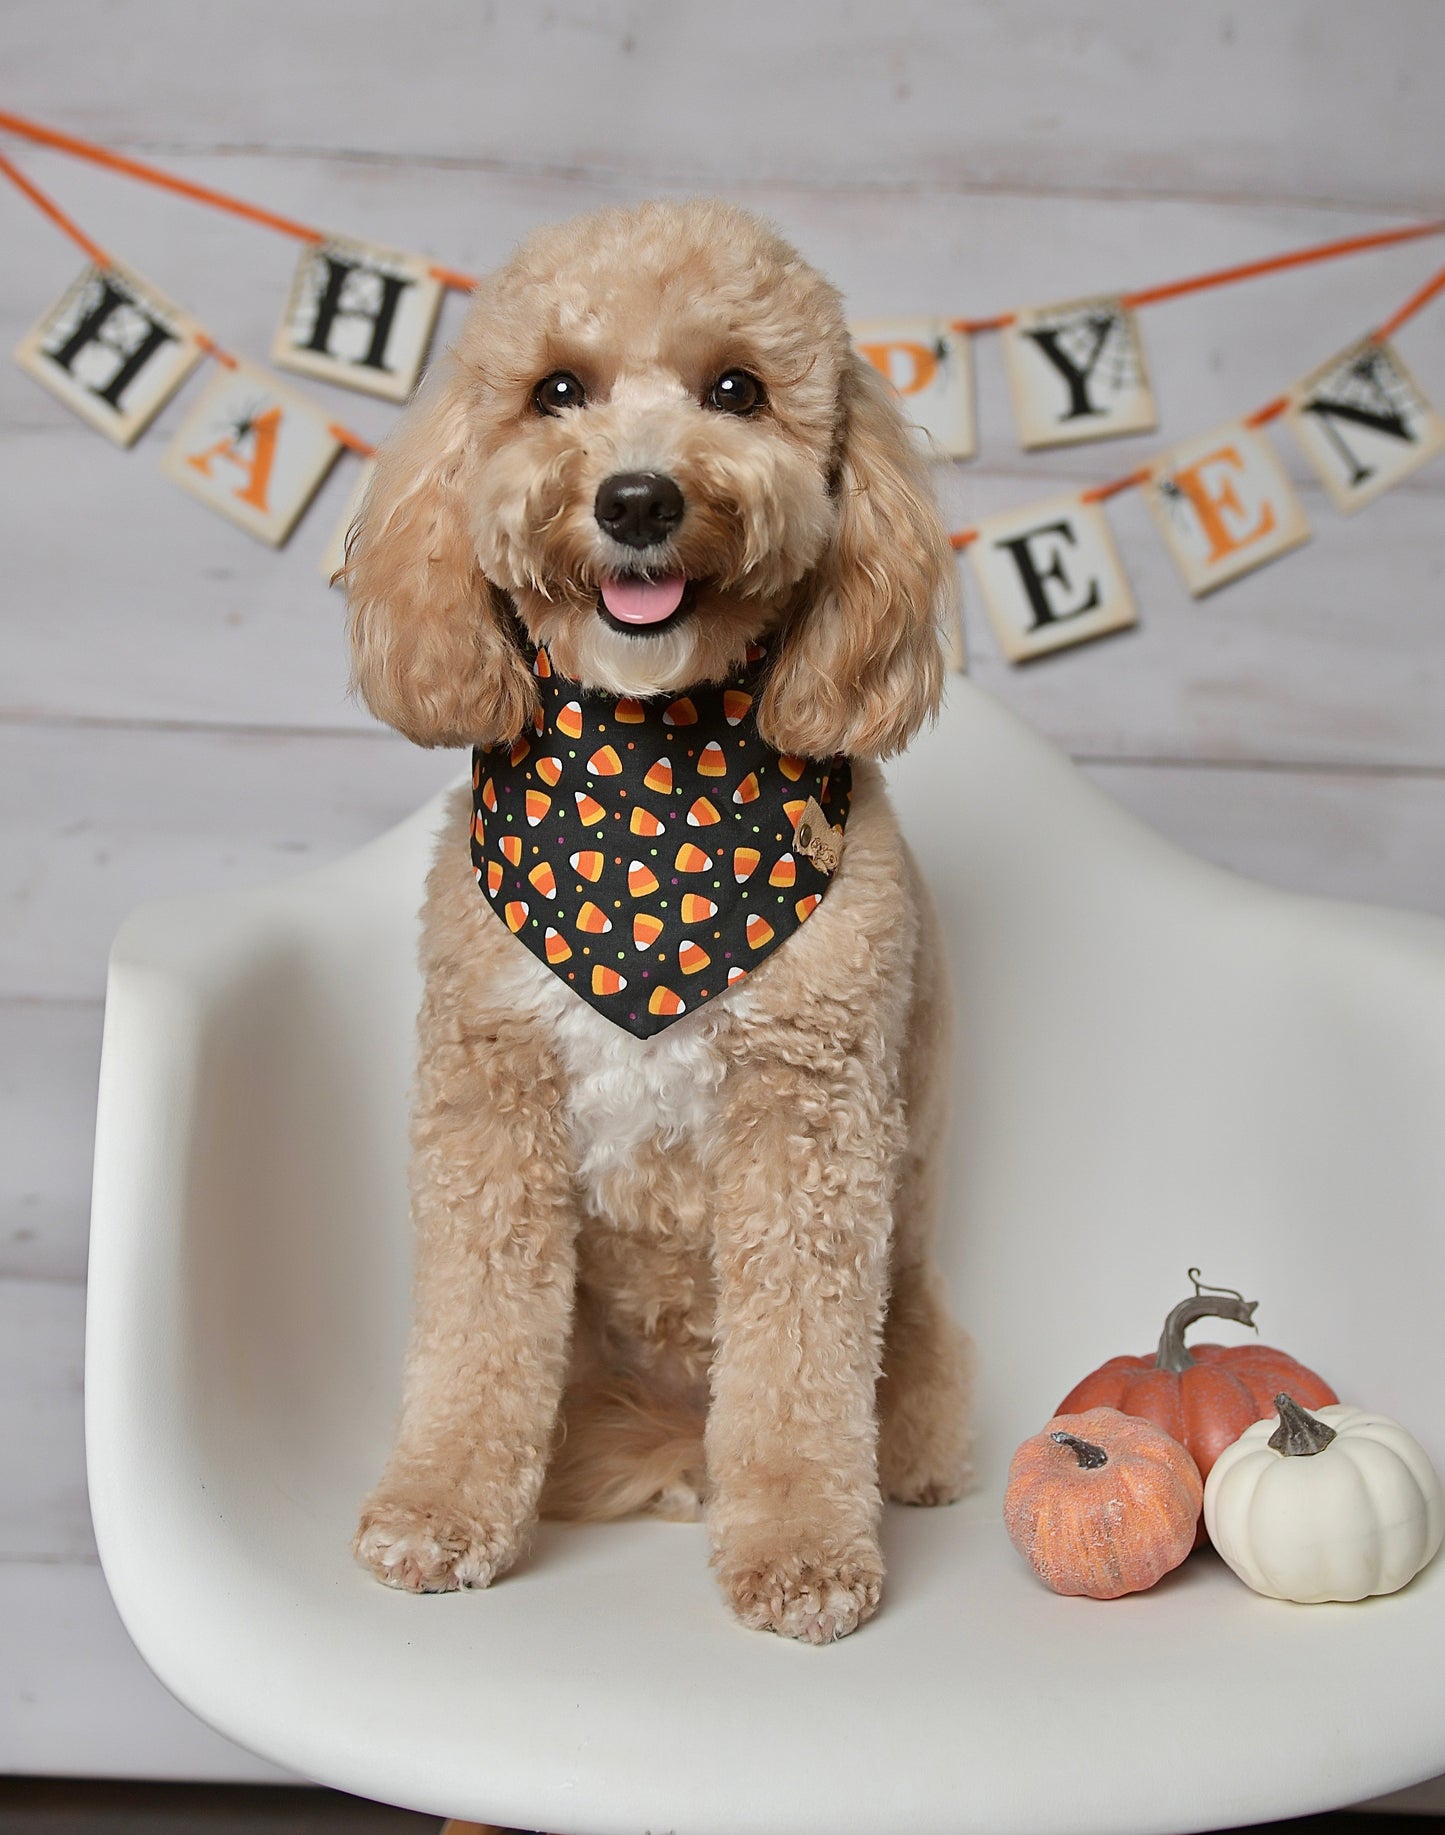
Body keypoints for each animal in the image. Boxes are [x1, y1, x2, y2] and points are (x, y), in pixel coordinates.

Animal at [343, 200, 969, 1651]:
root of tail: (671, 1430)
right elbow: (475, 1336)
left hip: (906, 1294)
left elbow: (799, 1366)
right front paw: (438, 1509)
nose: (637, 498)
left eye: (734, 389)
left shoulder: (808, 1122)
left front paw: (801, 1548)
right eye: (555, 391)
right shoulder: (490, 1103)